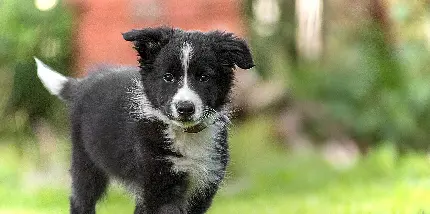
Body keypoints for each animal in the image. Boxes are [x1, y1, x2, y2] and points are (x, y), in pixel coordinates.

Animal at [35, 27, 255, 214]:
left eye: (204, 77)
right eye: (168, 77)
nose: (185, 108)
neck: (184, 133)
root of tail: (83, 84)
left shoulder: (203, 186)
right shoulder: (158, 188)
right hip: (86, 162)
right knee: (81, 200)